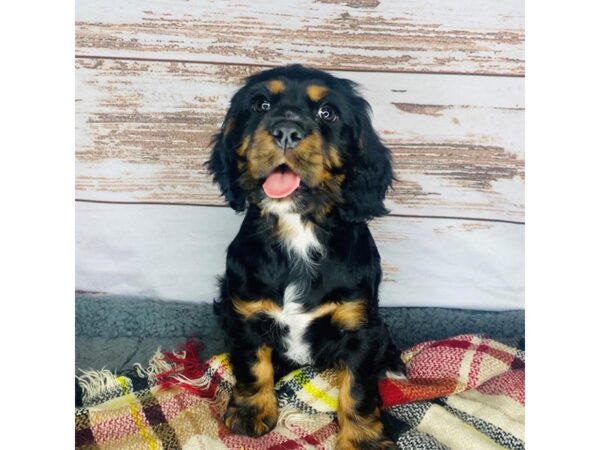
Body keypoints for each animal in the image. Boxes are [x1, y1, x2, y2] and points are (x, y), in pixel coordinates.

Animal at [206, 64, 398, 450]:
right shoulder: (245, 314)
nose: (286, 131)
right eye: (261, 105)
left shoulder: (360, 325)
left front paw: (363, 439)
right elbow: (253, 365)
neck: (298, 228)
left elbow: (358, 388)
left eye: (327, 113)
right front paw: (250, 412)